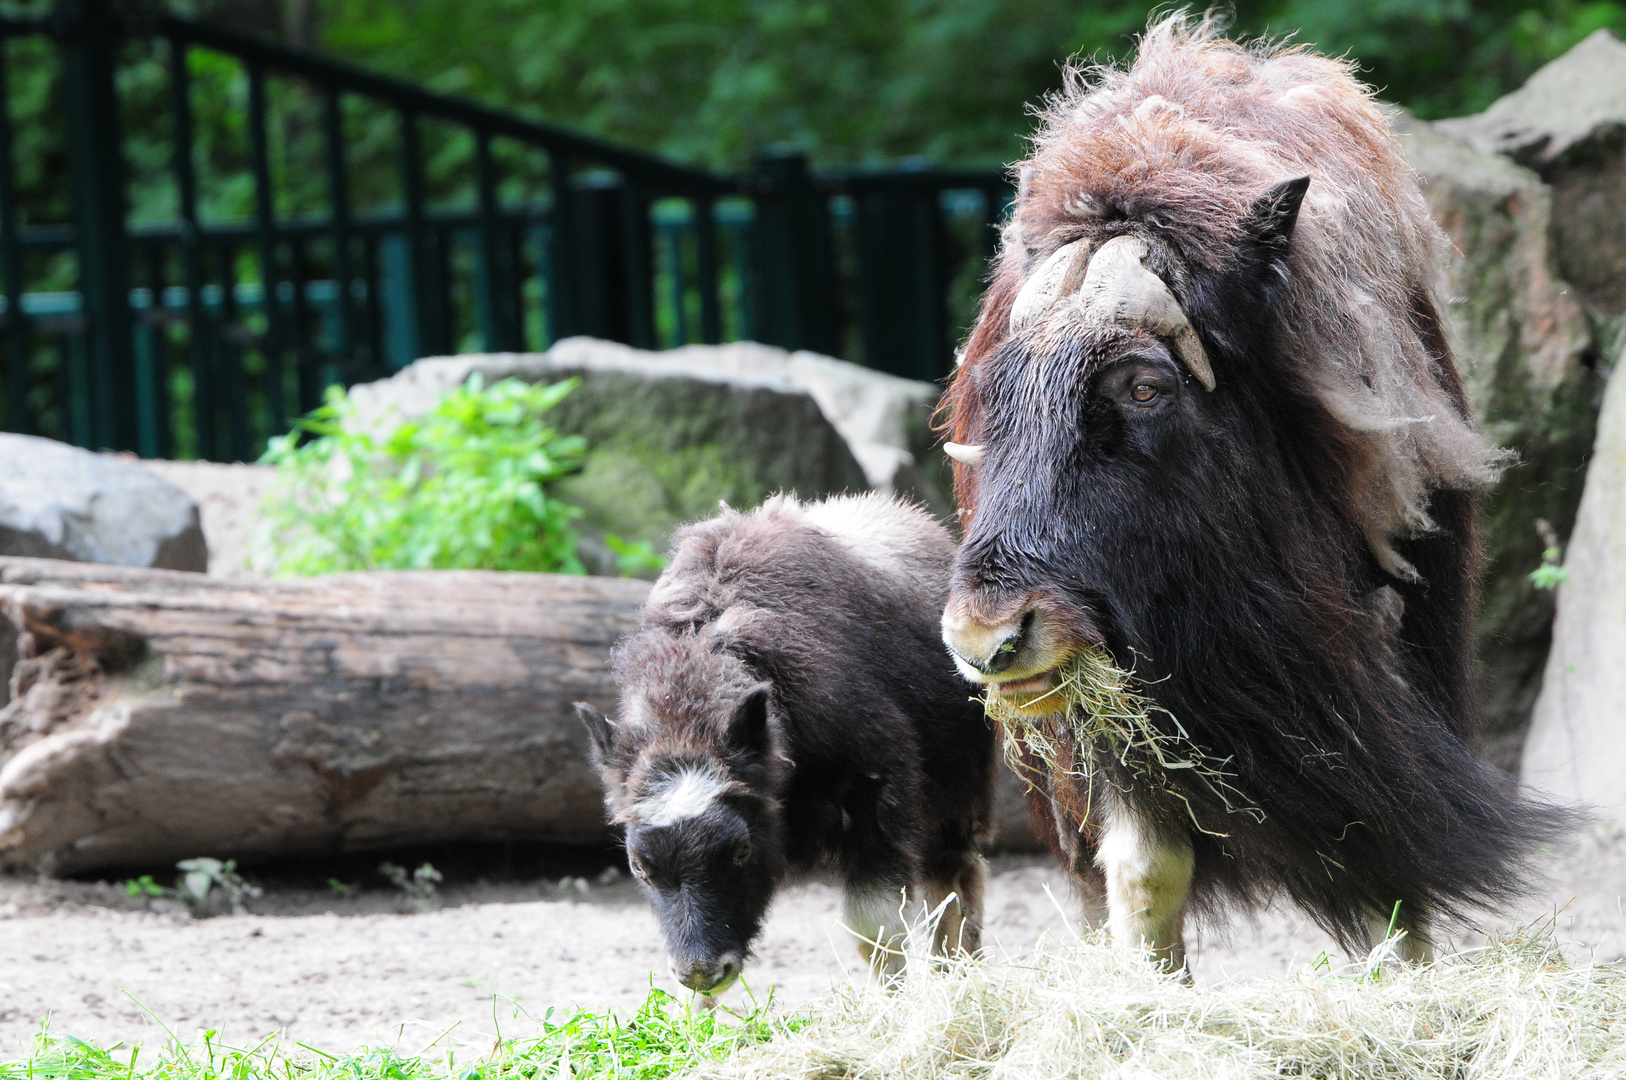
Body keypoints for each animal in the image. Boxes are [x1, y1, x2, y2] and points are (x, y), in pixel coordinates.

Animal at [578, 494, 995, 988]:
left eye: (739, 850)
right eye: (638, 864)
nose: (701, 972)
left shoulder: (874, 791)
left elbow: (874, 930)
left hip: (955, 797)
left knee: (955, 880)